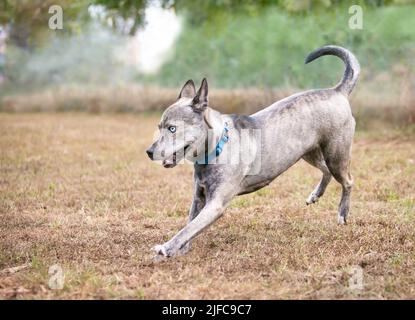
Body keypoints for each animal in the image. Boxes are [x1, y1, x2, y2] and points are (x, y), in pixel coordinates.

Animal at [147, 45, 360, 258]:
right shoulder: (199, 196)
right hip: (308, 151)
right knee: (325, 171)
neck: (217, 146)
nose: (149, 151)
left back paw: (342, 213)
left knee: (347, 181)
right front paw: (180, 249)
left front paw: (166, 248)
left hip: (336, 154)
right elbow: (190, 222)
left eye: (172, 128)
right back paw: (315, 195)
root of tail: (337, 91)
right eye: (159, 126)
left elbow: (188, 229)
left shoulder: (215, 204)